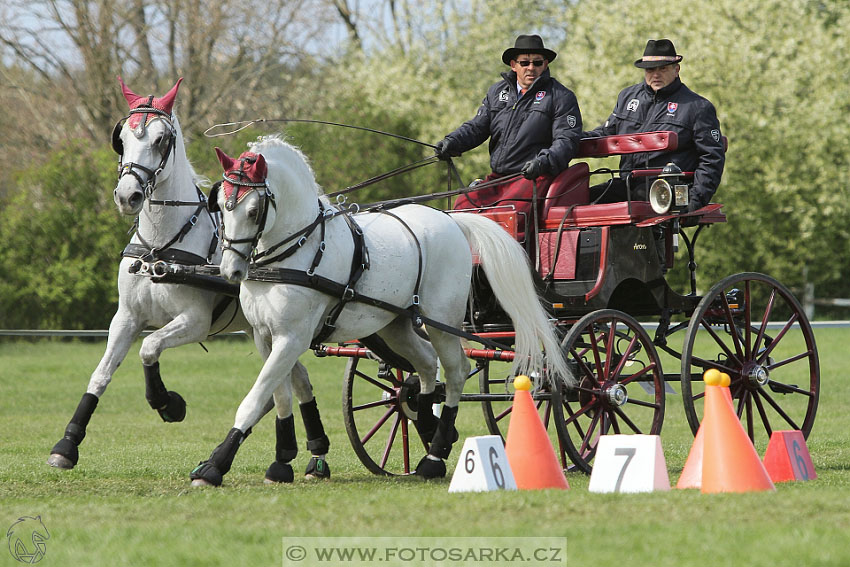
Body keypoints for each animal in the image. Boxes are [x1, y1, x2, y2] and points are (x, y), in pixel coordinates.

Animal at [45, 77, 332, 482]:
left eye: (162, 139)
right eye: (122, 138)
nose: (128, 195)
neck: (160, 247)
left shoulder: (194, 322)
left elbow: (149, 348)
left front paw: (168, 403)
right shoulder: (126, 318)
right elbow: (100, 375)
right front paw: (67, 446)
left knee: (285, 384)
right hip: (265, 330)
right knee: (296, 381)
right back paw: (311, 453)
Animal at [191, 135, 568, 486]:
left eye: (253, 211)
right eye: (221, 207)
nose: (231, 271)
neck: (296, 250)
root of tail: (451, 220)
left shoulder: (292, 338)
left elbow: (257, 397)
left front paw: (214, 465)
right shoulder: (265, 337)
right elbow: (280, 397)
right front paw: (281, 462)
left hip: (441, 321)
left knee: (455, 370)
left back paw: (435, 454)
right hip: (396, 324)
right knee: (426, 365)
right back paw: (429, 429)